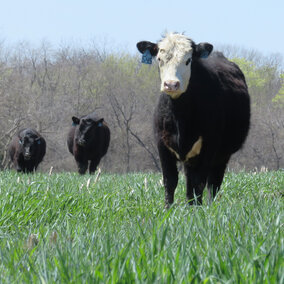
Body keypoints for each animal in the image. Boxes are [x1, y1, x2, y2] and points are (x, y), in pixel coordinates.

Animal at [136, 33, 250, 206]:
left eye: (188, 60)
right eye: (159, 59)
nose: (171, 84)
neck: (180, 117)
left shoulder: (208, 147)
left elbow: (198, 184)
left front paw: (196, 210)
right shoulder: (162, 145)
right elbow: (170, 181)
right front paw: (167, 209)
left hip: (222, 155)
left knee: (213, 183)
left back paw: (209, 206)